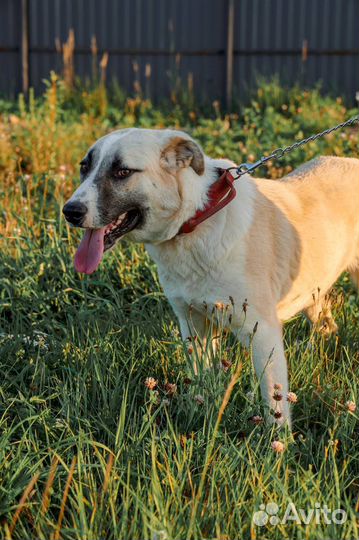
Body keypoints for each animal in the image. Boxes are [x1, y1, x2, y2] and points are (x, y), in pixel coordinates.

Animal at [62, 127, 359, 426]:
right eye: (84, 167)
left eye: (122, 171)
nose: (70, 211)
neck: (196, 220)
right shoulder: (193, 324)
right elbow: (200, 382)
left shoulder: (262, 333)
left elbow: (274, 401)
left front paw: (279, 438)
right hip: (313, 291)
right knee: (327, 325)